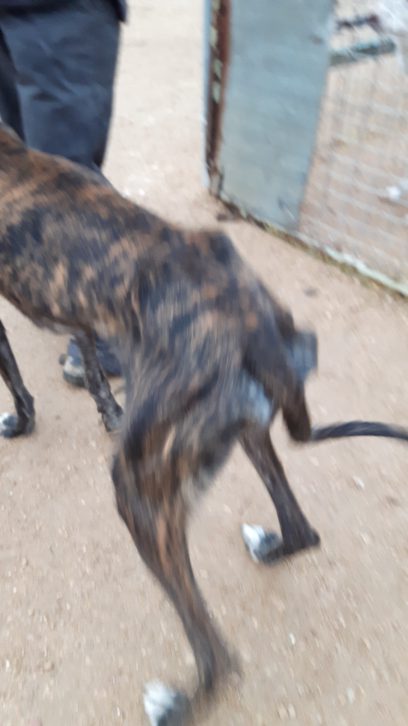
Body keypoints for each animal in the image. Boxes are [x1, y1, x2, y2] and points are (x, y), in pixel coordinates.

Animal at [1, 122, 407, 725]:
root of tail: (253, 319)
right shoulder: (82, 318)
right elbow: (92, 363)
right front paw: (104, 407)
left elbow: (15, 376)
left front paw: (22, 420)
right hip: (241, 430)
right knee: (303, 530)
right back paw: (273, 546)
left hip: (140, 490)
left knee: (218, 654)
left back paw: (177, 704)